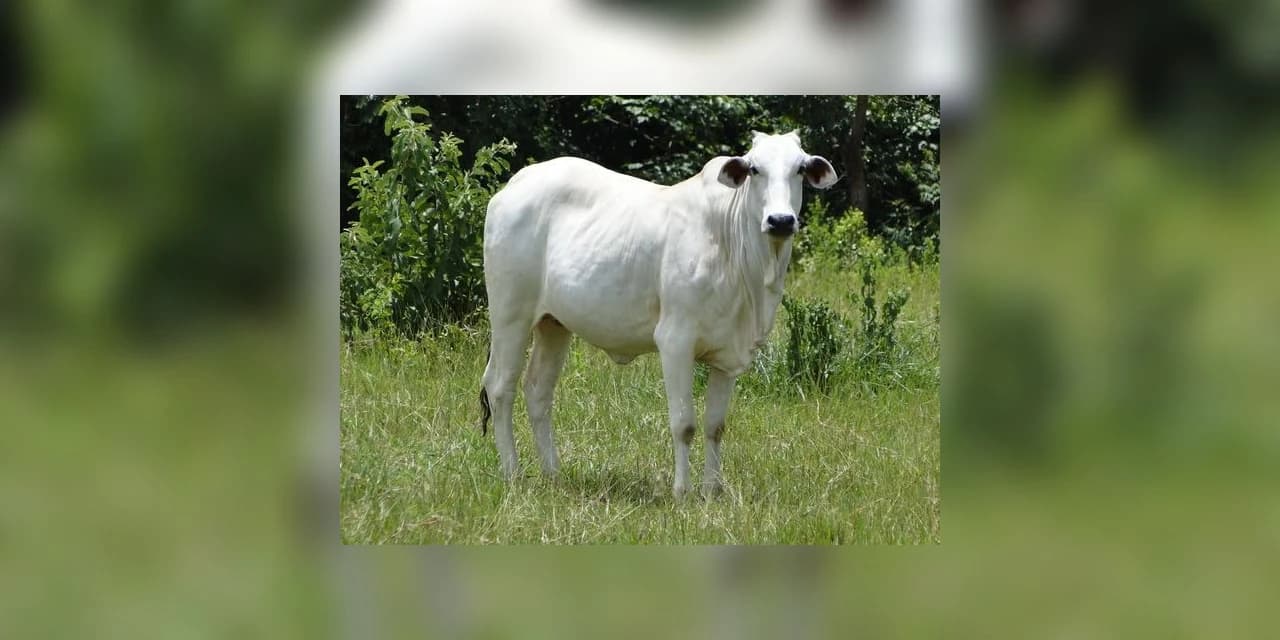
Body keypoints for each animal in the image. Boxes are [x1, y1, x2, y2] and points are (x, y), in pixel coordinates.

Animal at [478, 131, 837, 497]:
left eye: (800, 169)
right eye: (754, 169)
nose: (780, 221)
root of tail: (518, 182)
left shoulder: (727, 355)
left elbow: (715, 426)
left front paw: (712, 490)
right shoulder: (675, 341)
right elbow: (684, 424)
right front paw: (682, 492)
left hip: (554, 324)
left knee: (538, 390)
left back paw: (552, 475)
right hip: (510, 315)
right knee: (499, 387)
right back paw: (513, 474)